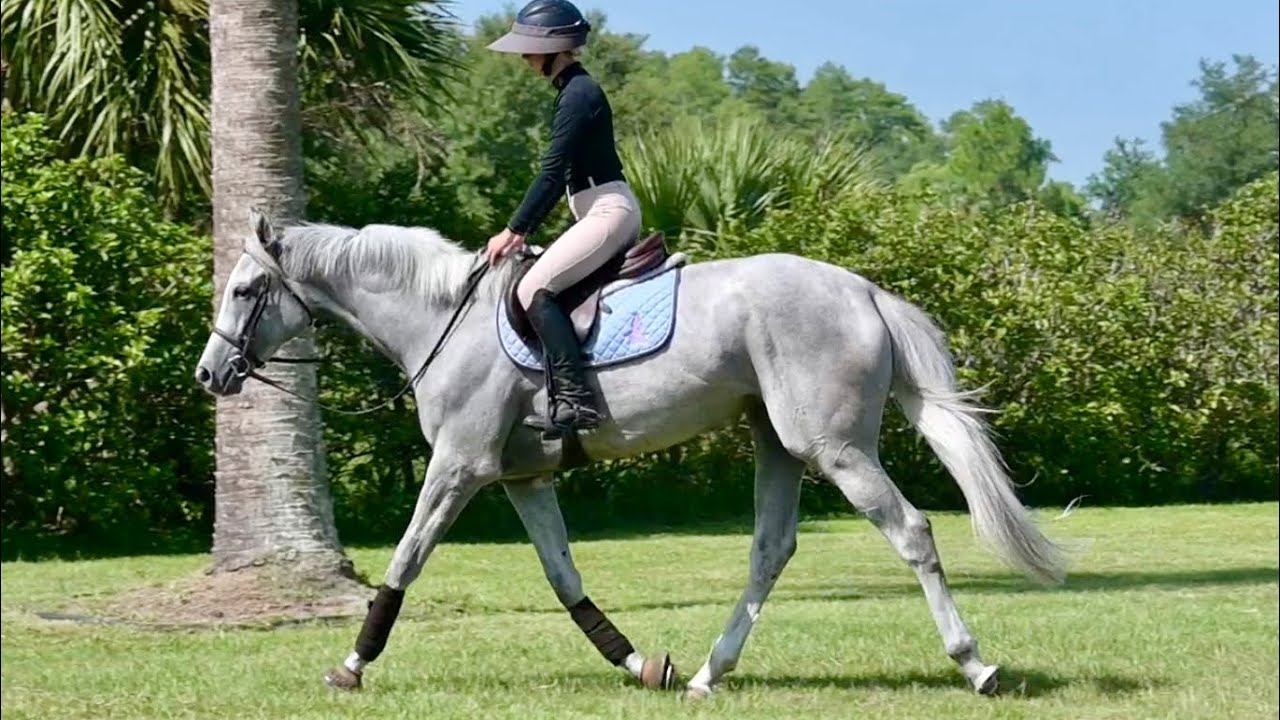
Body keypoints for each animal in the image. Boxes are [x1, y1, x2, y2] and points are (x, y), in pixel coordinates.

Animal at [194, 209, 1067, 699]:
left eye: (243, 291)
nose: (210, 375)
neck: (441, 319)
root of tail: (865, 291)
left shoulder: (460, 468)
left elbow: (405, 563)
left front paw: (350, 665)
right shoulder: (523, 478)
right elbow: (565, 580)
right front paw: (643, 665)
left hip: (835, 446)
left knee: (912, 532)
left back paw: (977, 667)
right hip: (779, 442)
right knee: (770, 550)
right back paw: (708, 676)